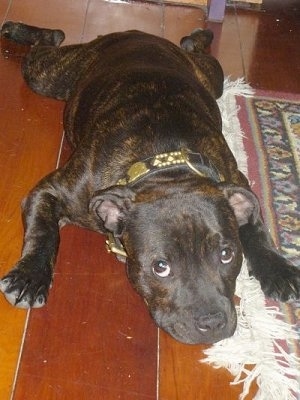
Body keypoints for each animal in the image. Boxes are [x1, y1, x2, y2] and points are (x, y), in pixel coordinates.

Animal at [0, 21, 300, 346]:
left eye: (227, 255)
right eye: (160, 268)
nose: (212, 322)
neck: (165, 165)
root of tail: (137, 33)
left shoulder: (237, 181)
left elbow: (256, 228)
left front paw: (278, 269)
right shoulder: (51, 190)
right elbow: (44, 232)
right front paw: (30, 276)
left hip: (212, 76)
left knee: (197, 52)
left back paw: (199, 36)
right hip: (47, 75)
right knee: (46, 44)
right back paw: (20, 30)